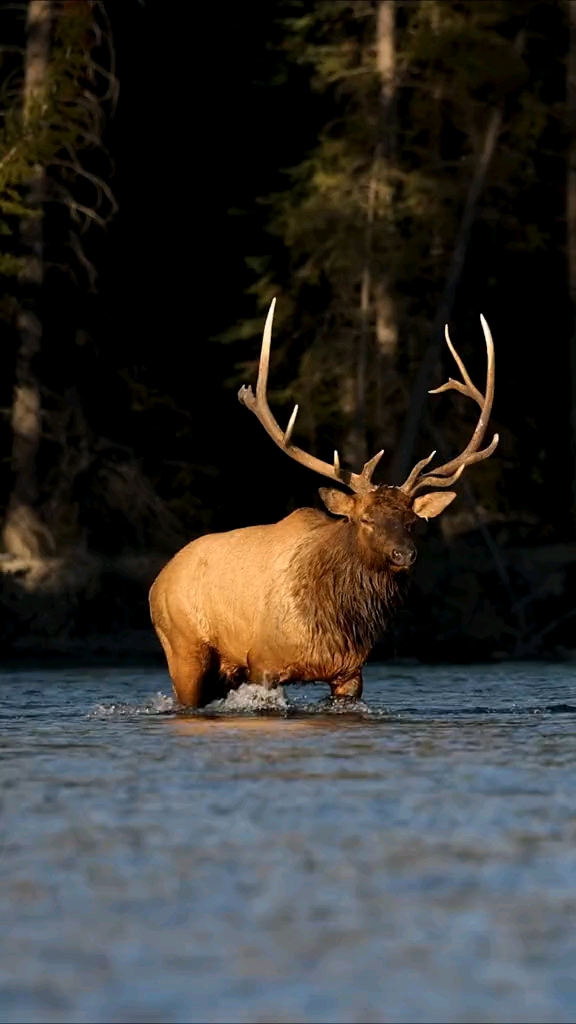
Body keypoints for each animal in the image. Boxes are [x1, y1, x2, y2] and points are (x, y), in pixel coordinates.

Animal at [150, 299, 497, 707]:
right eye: (365, 519)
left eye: (412, 521)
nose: (404, 554)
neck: (335, 619)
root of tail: (158, 580)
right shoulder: (263, 662)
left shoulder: (350, 672)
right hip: (183, 649)